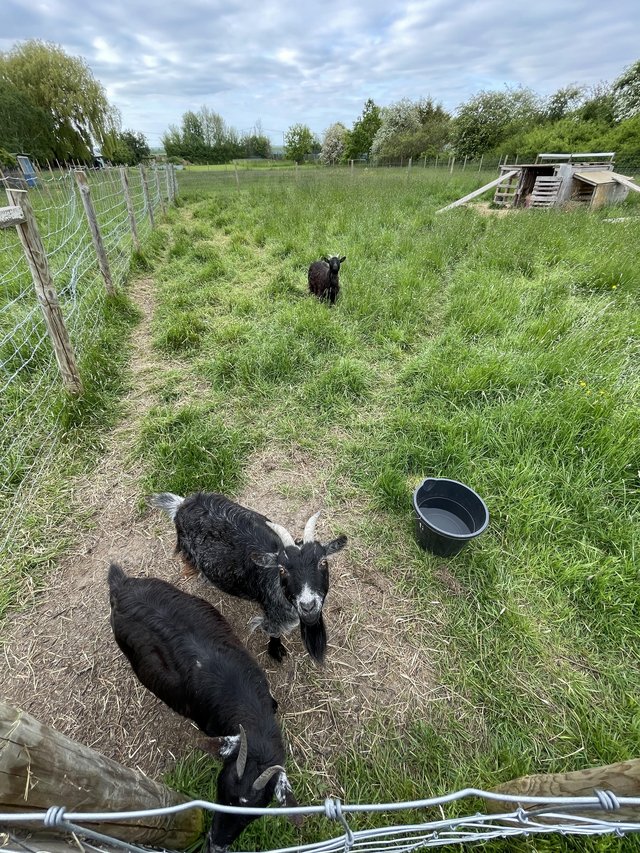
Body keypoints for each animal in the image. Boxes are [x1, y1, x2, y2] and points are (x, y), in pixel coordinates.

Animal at [151, 492, 347, 664]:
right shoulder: (274, 616)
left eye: (323, 562)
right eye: (282, 569)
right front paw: (275, 651)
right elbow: (273, 632)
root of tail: (181, 505)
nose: (308, 606)